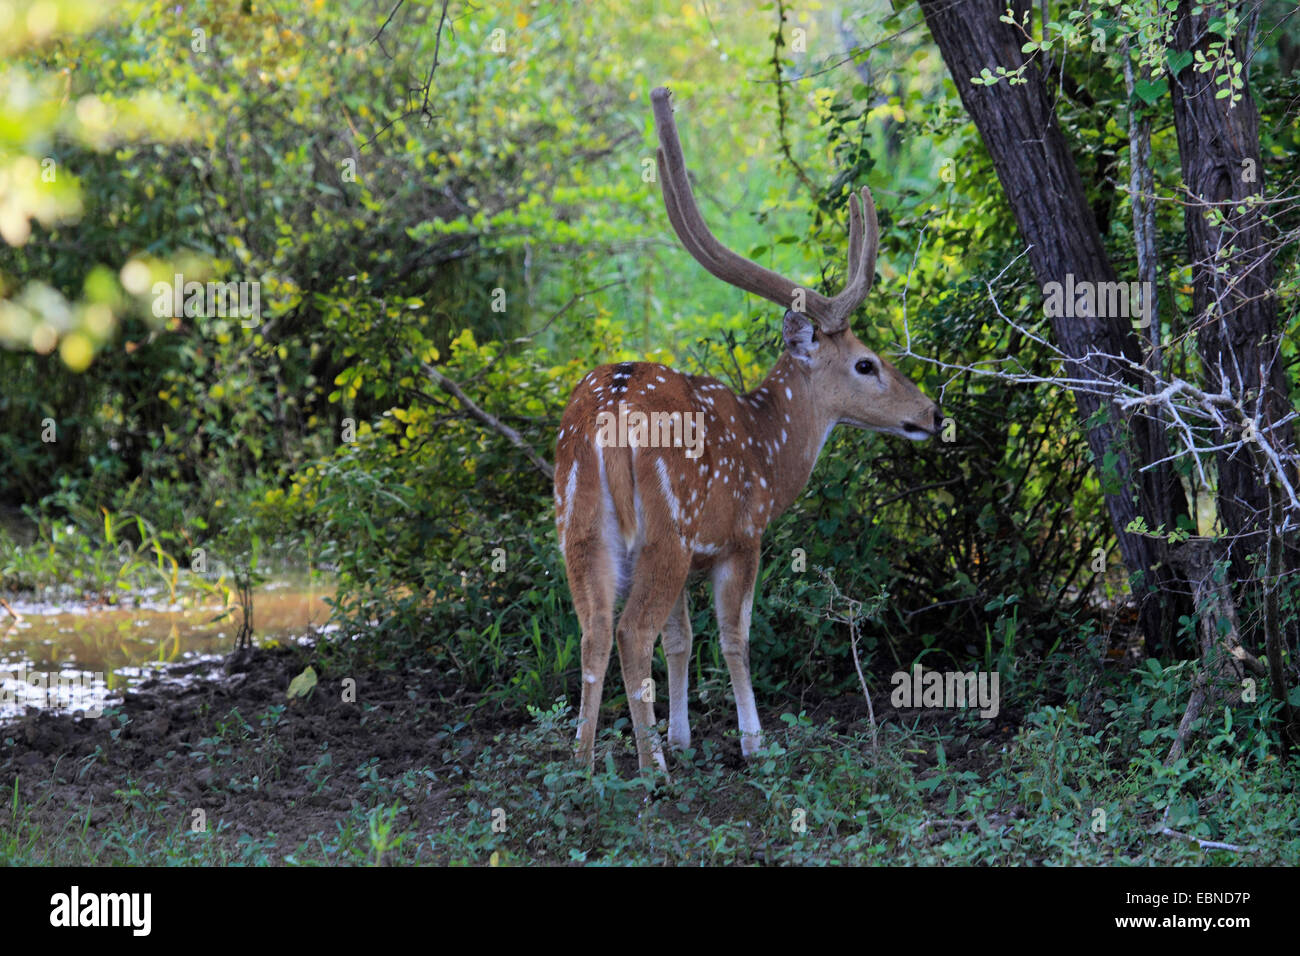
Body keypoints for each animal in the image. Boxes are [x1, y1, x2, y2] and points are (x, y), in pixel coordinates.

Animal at [553, 86, 942, 774]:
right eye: (866, 363)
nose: (930, 414)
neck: (768, 453)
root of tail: (608, 417)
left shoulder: (700, 555)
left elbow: (682, 640)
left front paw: (684, 735)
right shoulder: (741, 536)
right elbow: (734, 637)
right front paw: (753, 741)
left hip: (580, 525)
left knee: (594, 630)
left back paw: (584, 761)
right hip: (667, 529)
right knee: (629, 631)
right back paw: (650, 770)